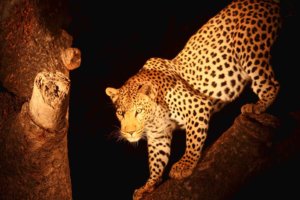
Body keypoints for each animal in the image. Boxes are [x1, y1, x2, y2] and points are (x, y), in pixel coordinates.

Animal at [105, 0, 282, 199]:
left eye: (138, 111)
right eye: (121, 113)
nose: (129, 133)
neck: (154, 116)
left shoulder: (197, 106)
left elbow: (193, 140)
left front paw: (185, 165)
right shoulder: (158, 135)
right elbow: (157, 160)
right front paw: (148, 185)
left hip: (249, 50)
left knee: (271, 83)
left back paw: (258, 106)